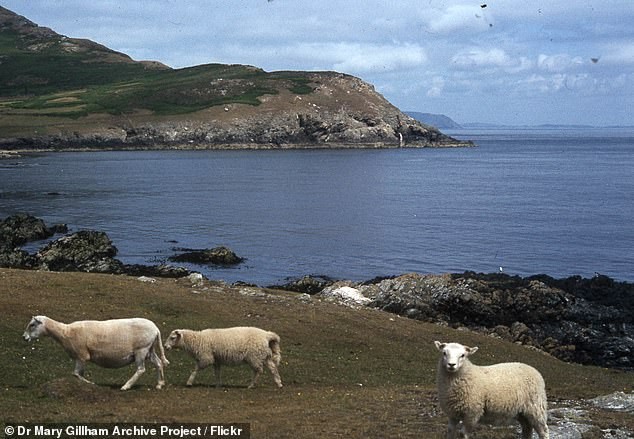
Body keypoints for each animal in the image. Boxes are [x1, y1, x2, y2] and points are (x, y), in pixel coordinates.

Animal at [23, 316, 169, 392]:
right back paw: (160, 384)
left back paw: (126, 386)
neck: (65, 332)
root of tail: (156, 329)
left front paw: (91, 384)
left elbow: (76, 374)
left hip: (141, 349)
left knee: (141, 369)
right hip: (149, 349)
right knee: (159, 363)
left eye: (32, 324)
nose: (24, 337)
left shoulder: (81, 355)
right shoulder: (80, 357)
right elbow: (78, 374)